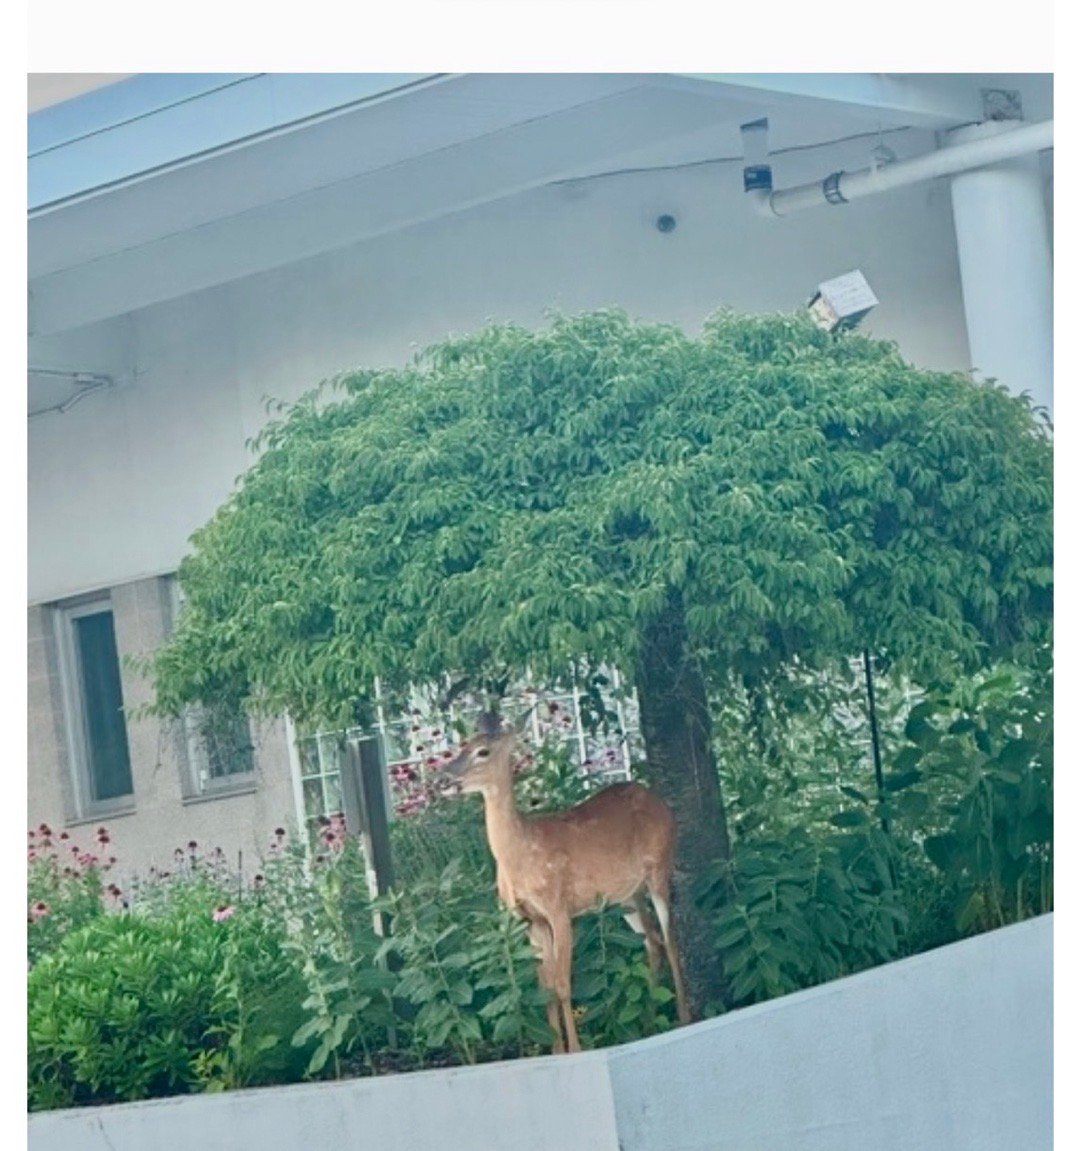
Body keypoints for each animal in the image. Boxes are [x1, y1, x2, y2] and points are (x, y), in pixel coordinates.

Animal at [442, 711, 690, 1054]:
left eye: (483, 751)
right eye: (463, 744)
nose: (445, 776)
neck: (520, 854)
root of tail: (661, 803)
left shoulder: (558, 908)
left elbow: (562, 984)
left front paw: (576, 1049)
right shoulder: (530, 920)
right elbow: (544, 987)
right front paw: (556, 1051)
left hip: (659, 869)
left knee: (671, 940)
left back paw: (684, 1018)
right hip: (625, 896)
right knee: (652, 942)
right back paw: (650, 1021)